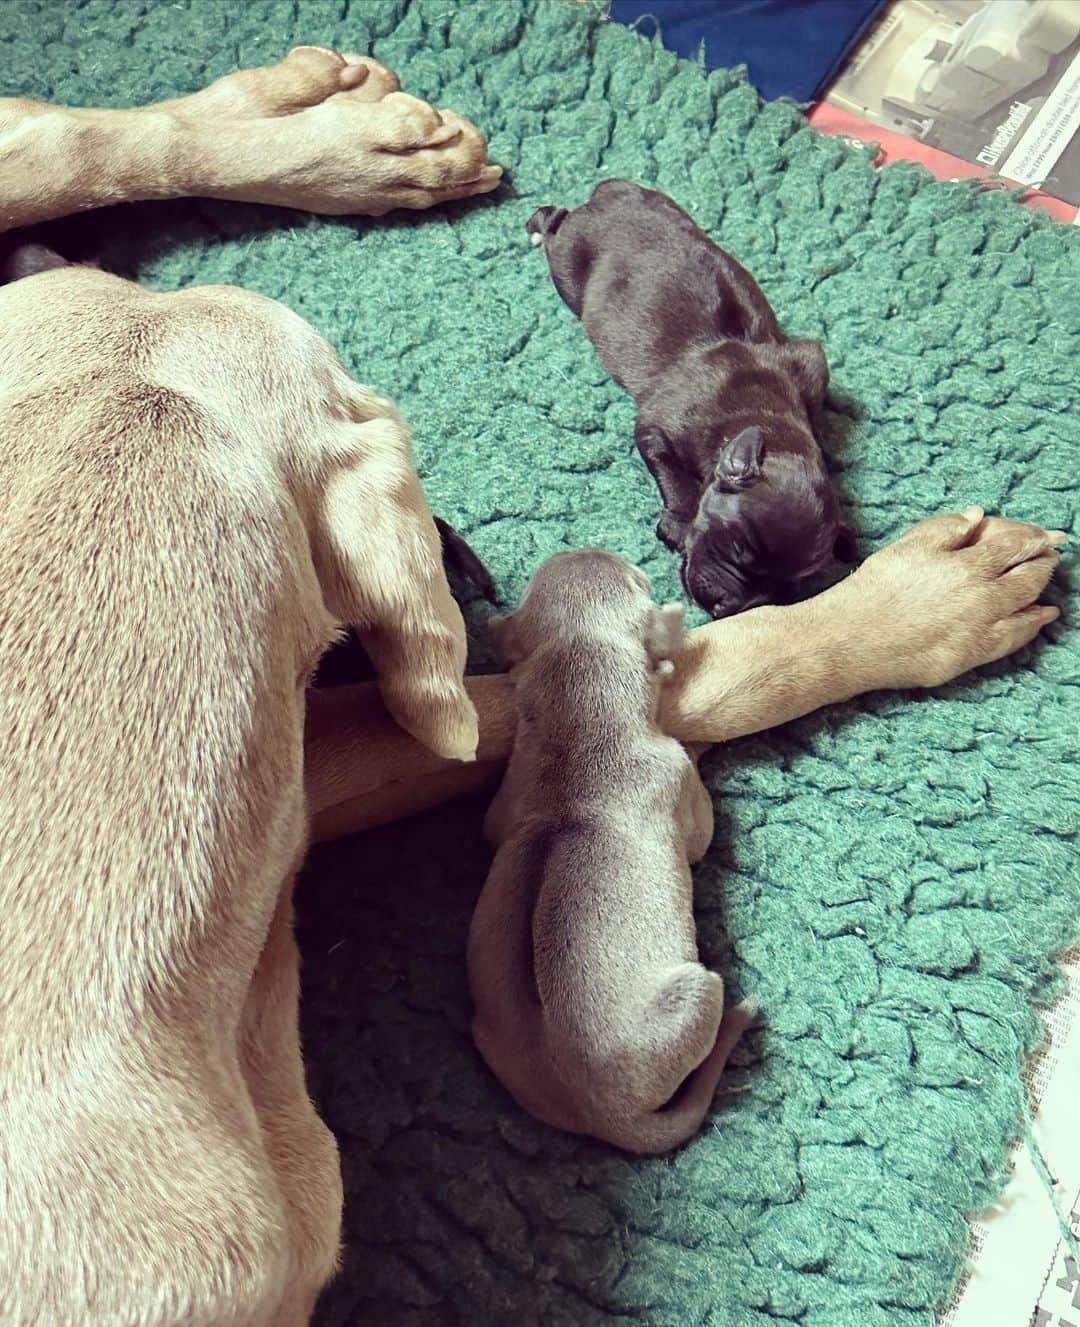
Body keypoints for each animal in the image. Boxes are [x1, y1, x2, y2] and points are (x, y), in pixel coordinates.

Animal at [469, 546, 758, 1151]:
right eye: (641, 578)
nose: (587, 547)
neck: (577, 726)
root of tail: (603, 1119)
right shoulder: (681, 788)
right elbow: (699, 818)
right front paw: (698, 734)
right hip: (700, 989)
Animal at [528, 179, 859, 618]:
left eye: (791, 585)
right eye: (737, 549)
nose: (728, 607)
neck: (768, 422)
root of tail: (614, 192)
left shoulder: (809, 365)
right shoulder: (659, 426)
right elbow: (675, 478)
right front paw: (680, 523)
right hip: (568, 260)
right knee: (556, 226)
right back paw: (538, 224)